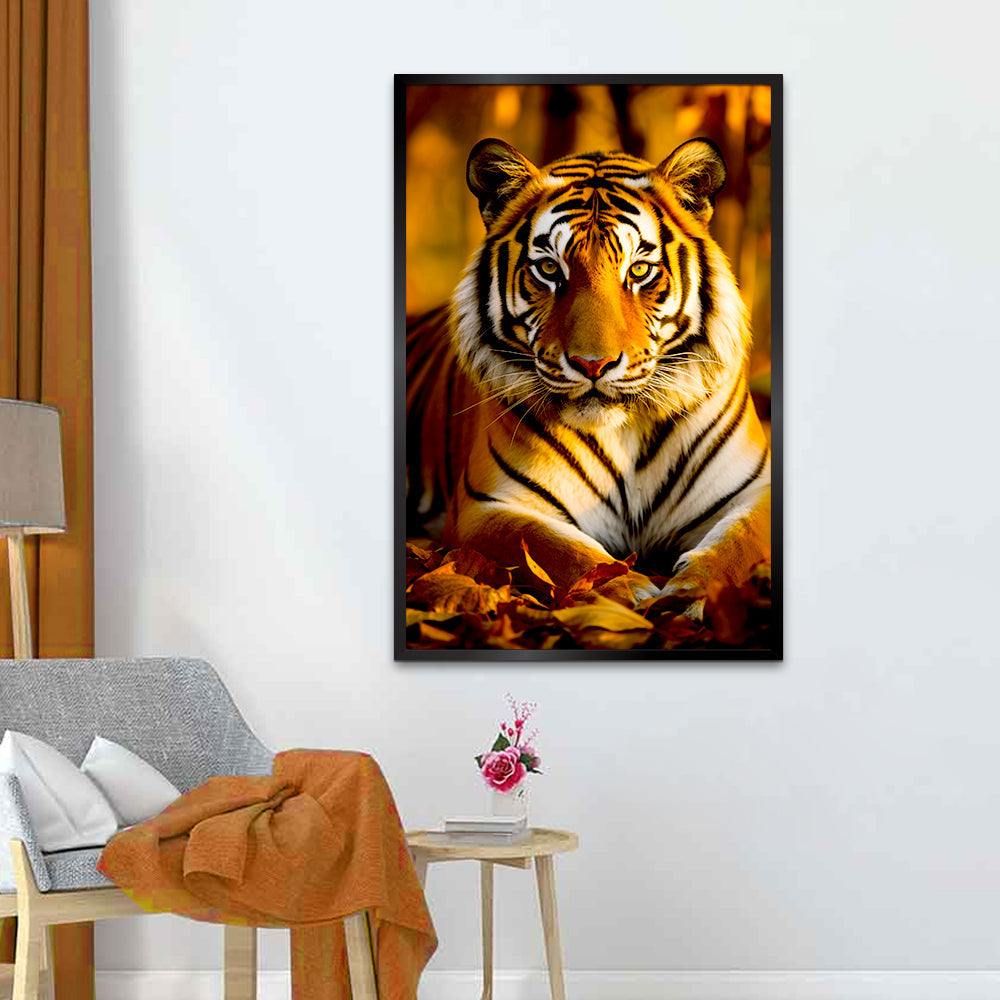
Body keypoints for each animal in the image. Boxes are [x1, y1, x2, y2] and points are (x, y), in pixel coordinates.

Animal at [406, 136, 771, 610]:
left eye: (638, 270)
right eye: (549, 269)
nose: (592, 364)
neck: (625, 433)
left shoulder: (756, 492)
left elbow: (739, 543)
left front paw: (691, 593)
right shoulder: (486, 506)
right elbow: (561, 550)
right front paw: (629, 591)